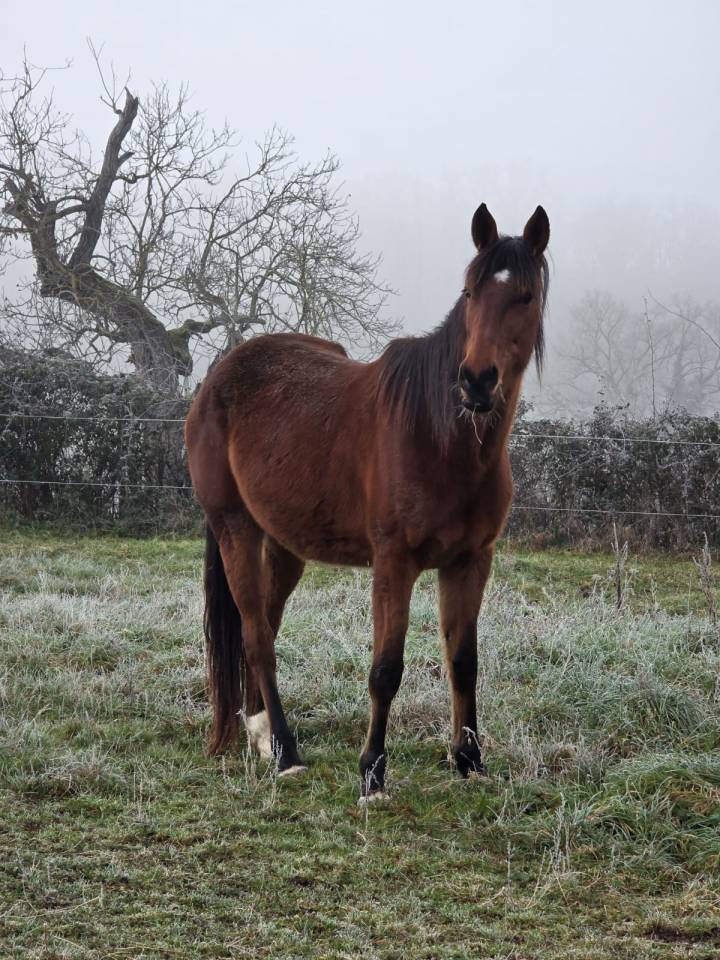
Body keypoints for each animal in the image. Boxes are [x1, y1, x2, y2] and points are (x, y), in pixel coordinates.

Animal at [185, 202, 550, 800]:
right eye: (470, 291)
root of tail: (216, 376)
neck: (440, 436)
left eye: (525, 296)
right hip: (236, 527)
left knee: (265, 624)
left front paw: (469, 760)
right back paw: (286, 751)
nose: (476, 381)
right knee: (257, 637)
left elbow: (464, 661)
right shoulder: (394, 563)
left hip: (284, 543)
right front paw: (373, 773)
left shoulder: (471, 561)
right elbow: (386, 670)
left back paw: (260, 731)